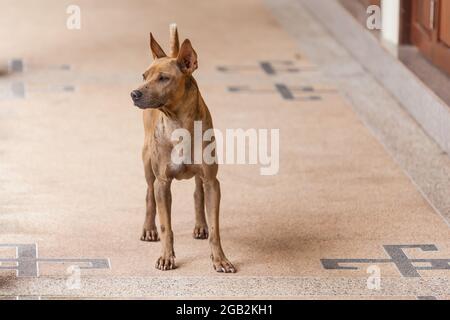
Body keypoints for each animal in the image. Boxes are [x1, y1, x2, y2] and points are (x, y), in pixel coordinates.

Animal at [130, 24, 236, 272]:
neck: (178, 124)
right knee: (149, 193)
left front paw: (220, 258)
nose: (134, 93)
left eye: (163, 78)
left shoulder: (212, 182)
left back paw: (200, 224)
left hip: (201, 176)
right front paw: (166, 257)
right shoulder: (162, 183)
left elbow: (215, 228)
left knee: (198, 192)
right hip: (147, 163)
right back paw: (149, 228)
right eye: (144, 76)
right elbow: (166, 226)